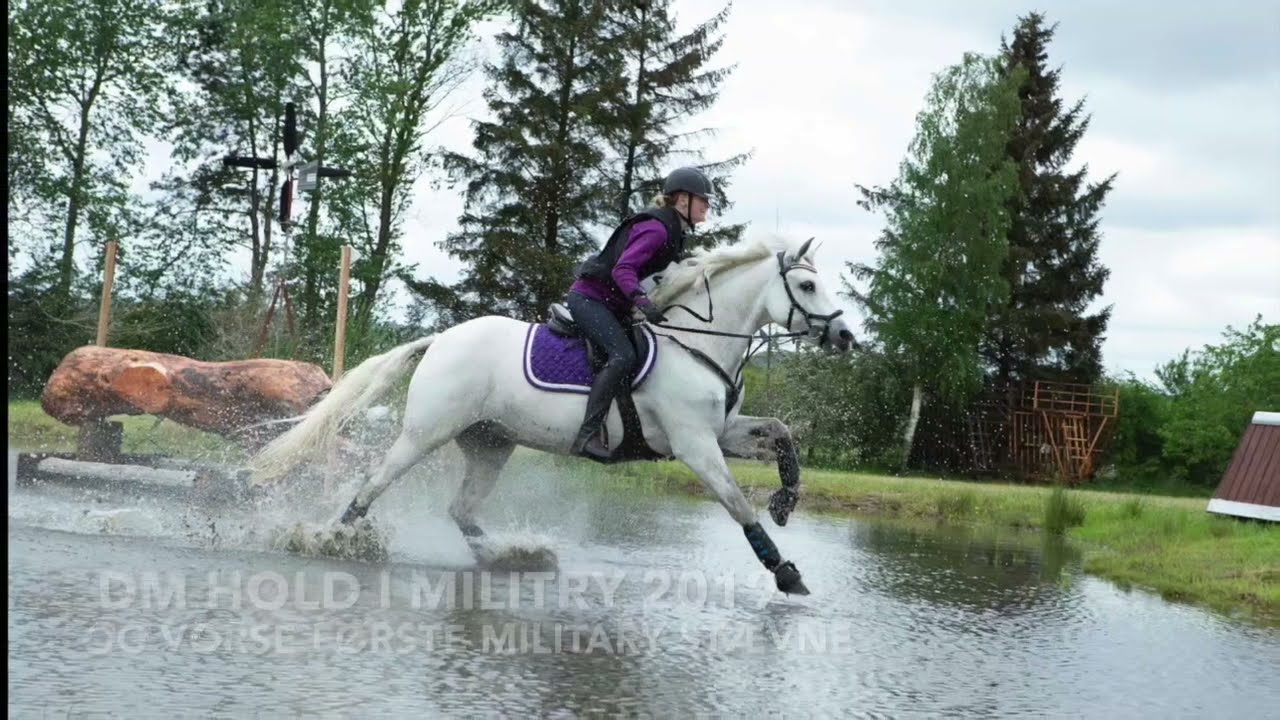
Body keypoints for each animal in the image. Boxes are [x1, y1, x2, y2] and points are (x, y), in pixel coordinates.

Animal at [247, 233, 856, 595]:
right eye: (807, 285)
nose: (847, 337)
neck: (697, 342)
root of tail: (440, 339)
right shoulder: (694, 444)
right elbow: (736, 506)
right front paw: (785, 571)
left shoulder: (722, 432)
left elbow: (781, 434)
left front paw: (786, 500)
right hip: (426, 433)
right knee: (372, 485)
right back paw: (331, 542)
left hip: (491, 443)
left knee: (462, 510)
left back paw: (512, 556)